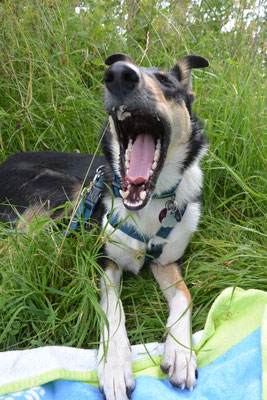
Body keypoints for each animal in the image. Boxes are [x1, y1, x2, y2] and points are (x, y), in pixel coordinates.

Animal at [0, 53, 209, 400]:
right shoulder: (105, 259)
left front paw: (180, 352)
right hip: (62, 192)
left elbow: (184, 296)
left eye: (166, 81)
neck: (149, 205)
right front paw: (114, 365)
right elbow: (113, 307)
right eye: (119, 69)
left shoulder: (167, 262)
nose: (120, 75)